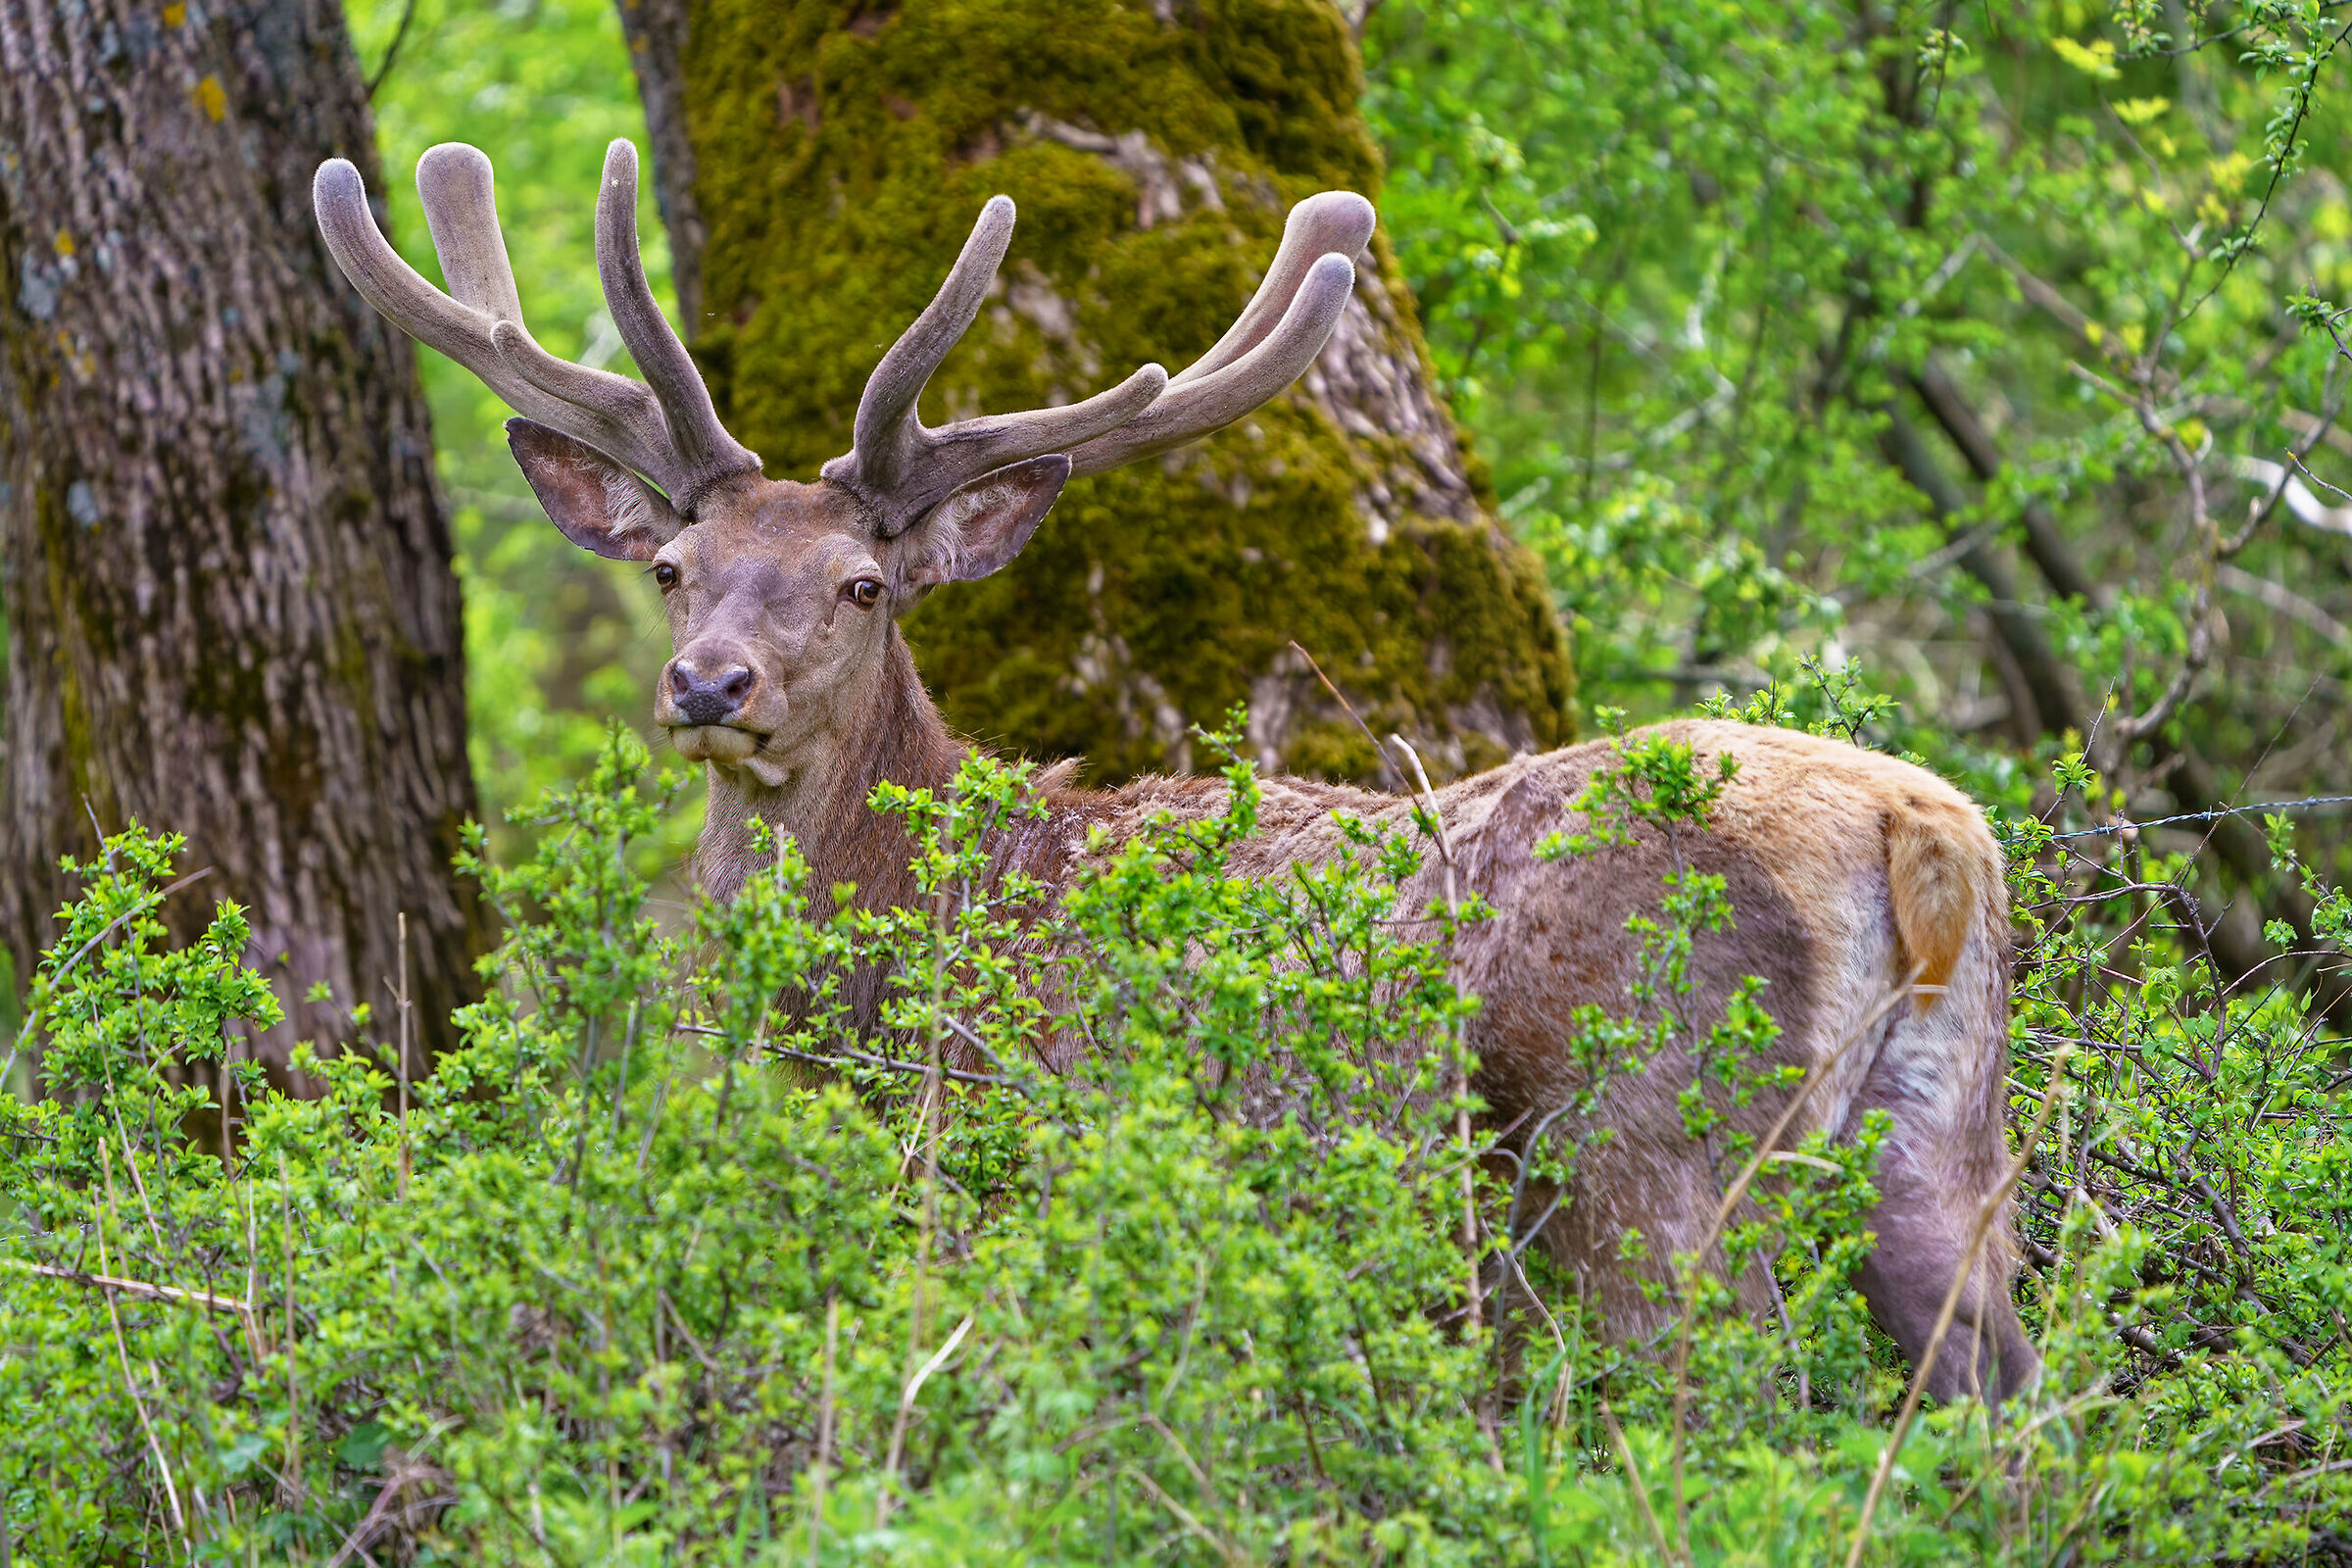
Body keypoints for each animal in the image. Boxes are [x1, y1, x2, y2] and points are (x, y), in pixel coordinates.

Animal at [314, 138, 2039, 1405]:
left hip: (1647, 1139)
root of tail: (1921, 829)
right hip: (1945, 1140)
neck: (912, 947)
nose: (707, 684)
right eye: (674, 568)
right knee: (2001, 1400)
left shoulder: (1001, 1155)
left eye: (864, 587)